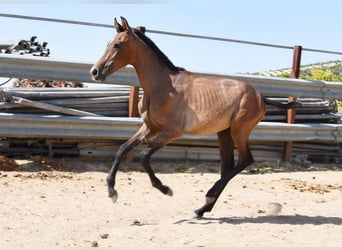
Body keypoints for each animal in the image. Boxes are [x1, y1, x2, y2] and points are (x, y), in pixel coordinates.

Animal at [91, 17, 300, 217]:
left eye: (117, 45)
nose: (95, 72)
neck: (163, 86)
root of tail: (261, 97)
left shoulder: (171, 132)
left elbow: (143, 157)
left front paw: (165, 189)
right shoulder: (150, 127)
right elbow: (122, 149)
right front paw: (112, 192)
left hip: (239, 131)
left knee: (245, 161)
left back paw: (208, 197)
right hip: (224, 133)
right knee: (228, 165)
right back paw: (202, 209)